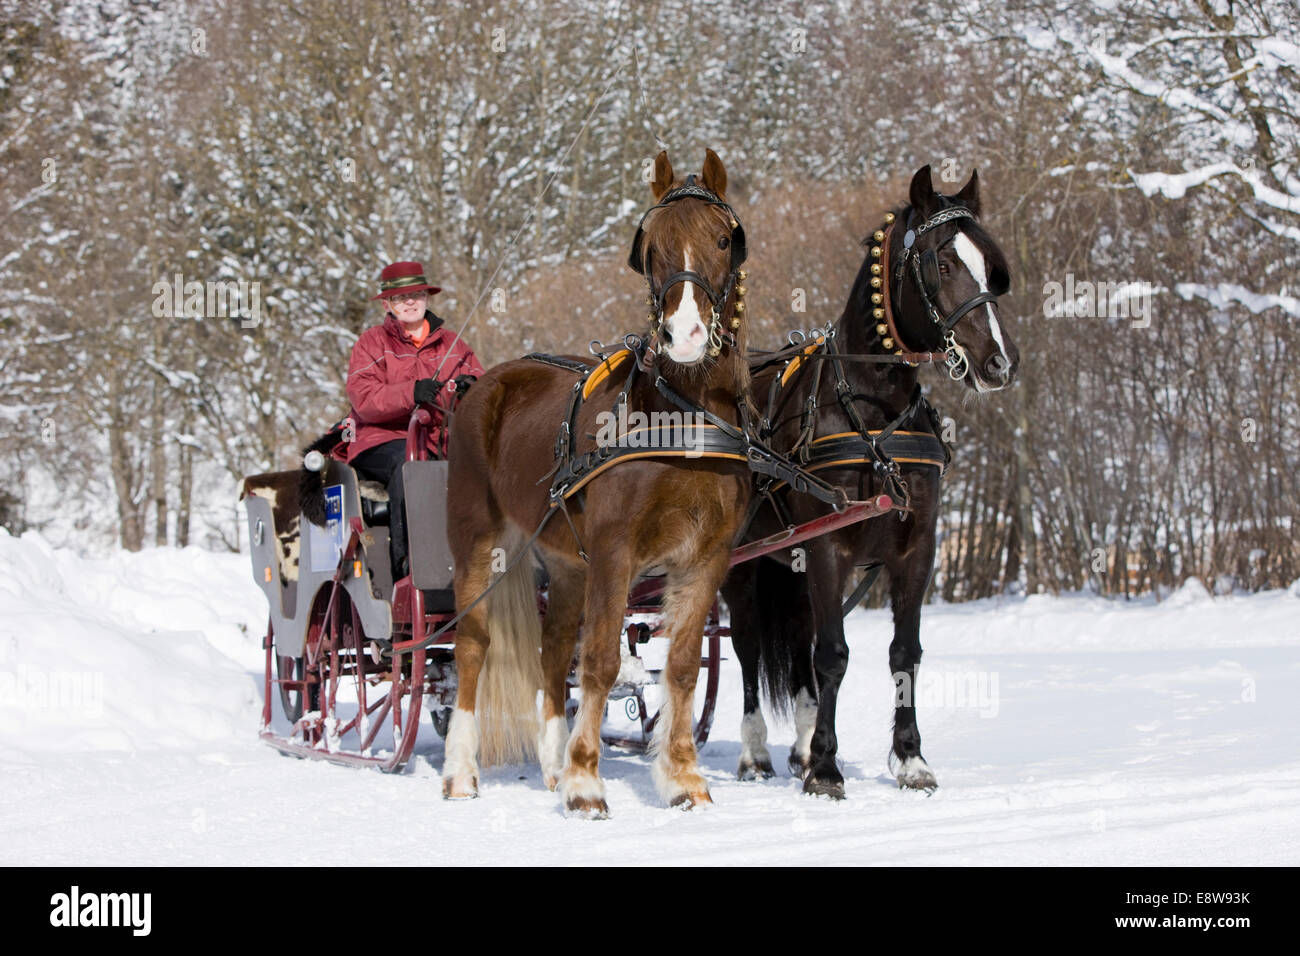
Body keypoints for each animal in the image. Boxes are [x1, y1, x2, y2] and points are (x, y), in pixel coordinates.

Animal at [444, 147, 754, 816]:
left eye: (723, 240)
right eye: (652, 247)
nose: (685, 336)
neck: (681, 419)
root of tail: (484, 384)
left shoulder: (705, 557)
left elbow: (682, 666)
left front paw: (683, 778)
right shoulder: (616, 551)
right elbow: (603, 662)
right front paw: (587, 782)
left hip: (565, 564)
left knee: (552, 649)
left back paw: (552, 766)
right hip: (479, 541)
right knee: (474, 646)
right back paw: (462, 772)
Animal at [722, 166, 1013, 801]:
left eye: (989, 264)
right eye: (941, 262)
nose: (1000, 363)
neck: (874, 410)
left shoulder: (918, 548)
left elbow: (903, 653)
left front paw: (909, 759)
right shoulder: (829, 546)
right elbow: (833, 654)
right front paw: (827, 771)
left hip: (791, 562)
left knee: (798, 643)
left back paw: (801, 745)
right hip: (741, 565)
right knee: (748, 646)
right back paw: (756, 752)